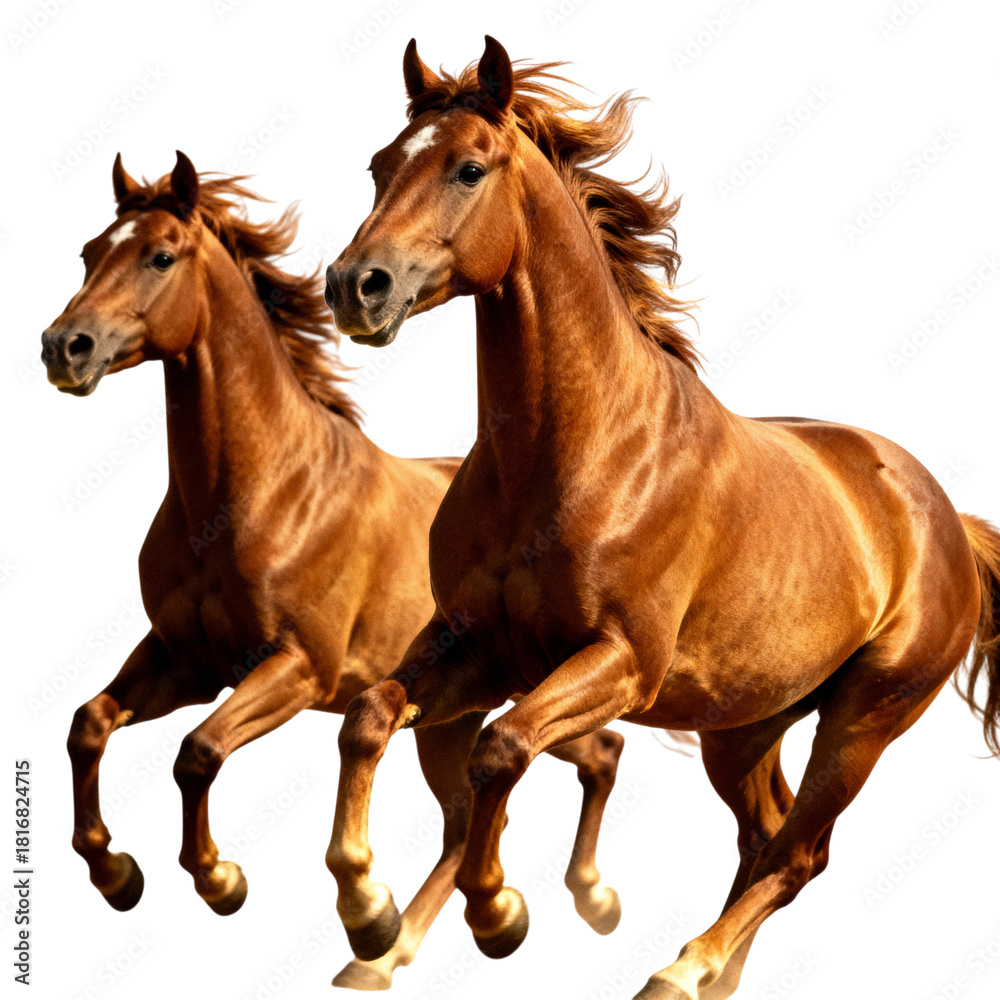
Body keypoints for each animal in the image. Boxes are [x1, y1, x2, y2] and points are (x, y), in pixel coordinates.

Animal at [40, 151, 628, 990]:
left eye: (159, 255)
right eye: (90, 252)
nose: (65, 346)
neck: (259, 492)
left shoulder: (297, 668)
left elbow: (198, 751)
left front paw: (221, 881)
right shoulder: (183, 660)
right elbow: (89, 724)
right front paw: (117, 875)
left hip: (511, 691)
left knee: (577, 763)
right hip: (456, 714)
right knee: (482, 812)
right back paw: (393, 950)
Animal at [323, 37, 1000, 998]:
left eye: (468, 168)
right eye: (381, 165)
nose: (357, 287)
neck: (573, 455)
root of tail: (947, 518)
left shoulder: (619, 662)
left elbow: (501, 749)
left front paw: (496, 913)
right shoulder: (476, 645)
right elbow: (372, 715)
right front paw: (368, 912)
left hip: (863, 721)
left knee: (800, 855)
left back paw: (682, 969)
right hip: (742, 726)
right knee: (765, 838)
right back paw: (707, 974)